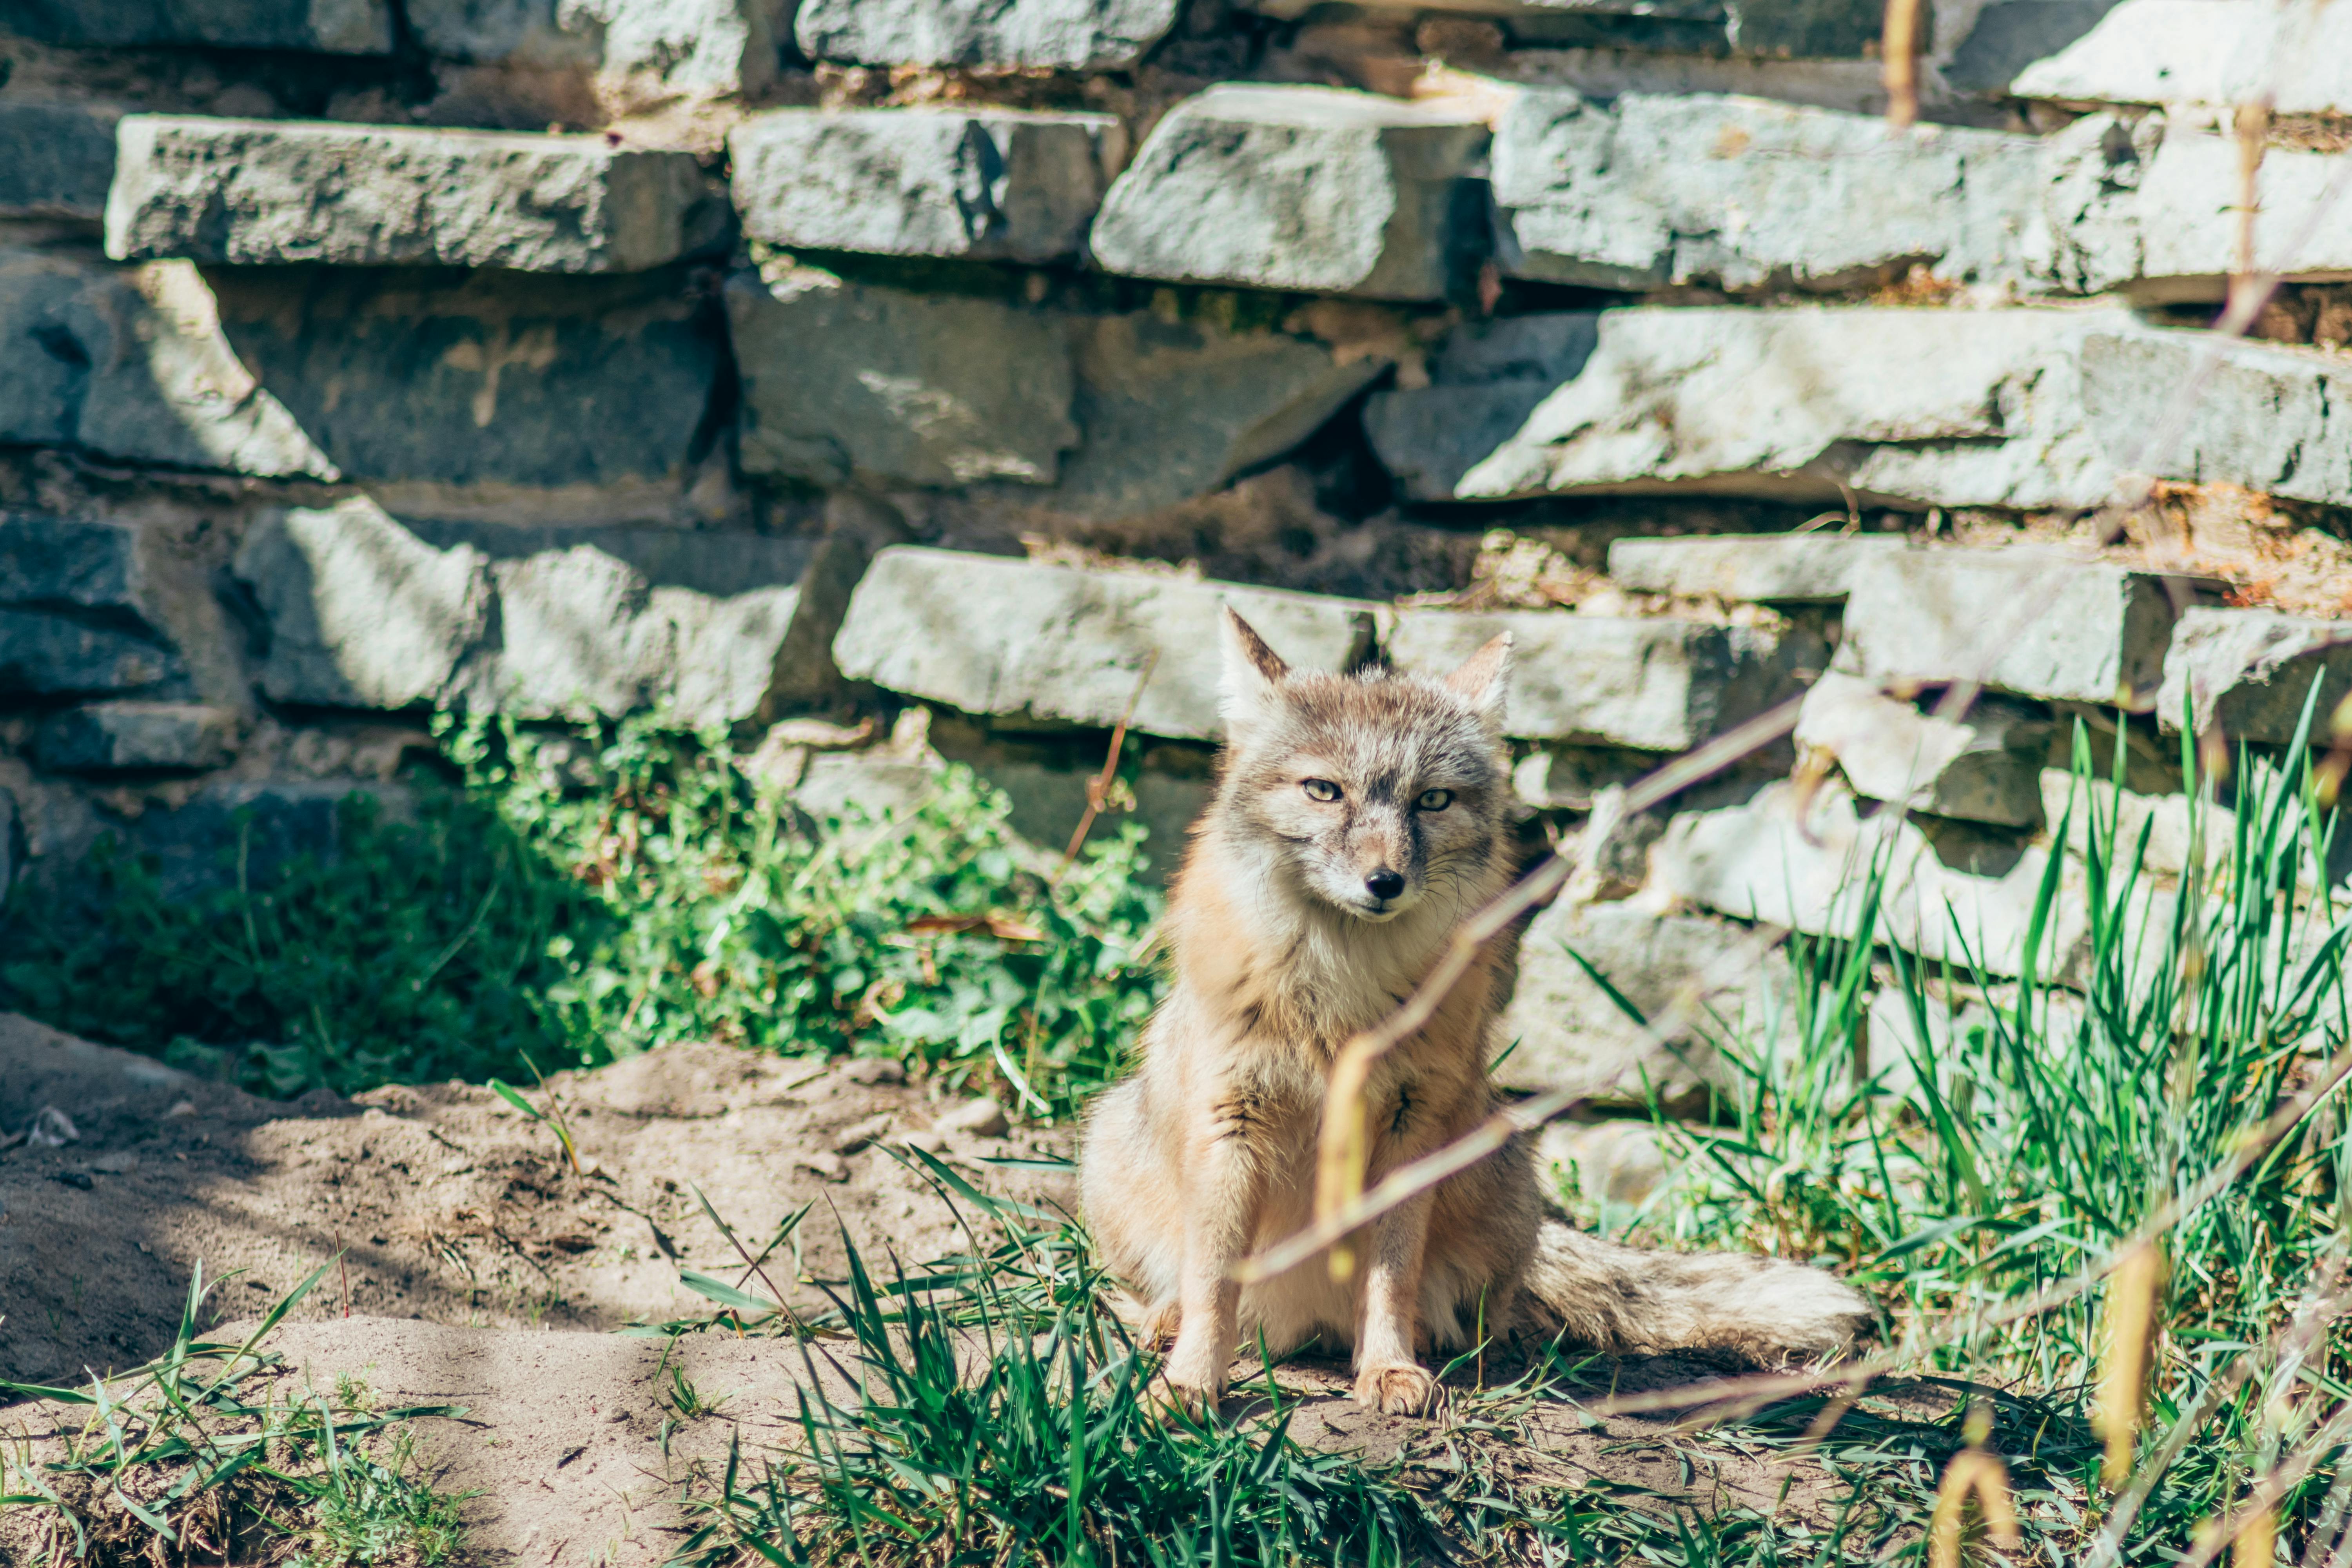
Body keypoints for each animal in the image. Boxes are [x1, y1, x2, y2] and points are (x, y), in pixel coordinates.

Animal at [1080, 608, 1873, 1416]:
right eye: (1324, 791)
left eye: (1432, 801)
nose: (1385, 882)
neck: (1342, 995)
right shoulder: (1231, 1118)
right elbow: (1214, 1279)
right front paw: (1191, 1383)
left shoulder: (1410, 1123)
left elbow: (1390, 1275)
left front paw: (1388, 1368)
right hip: (1108, 1146)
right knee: (1181, 1285)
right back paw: (1167, 1321)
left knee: (1478, 1311)